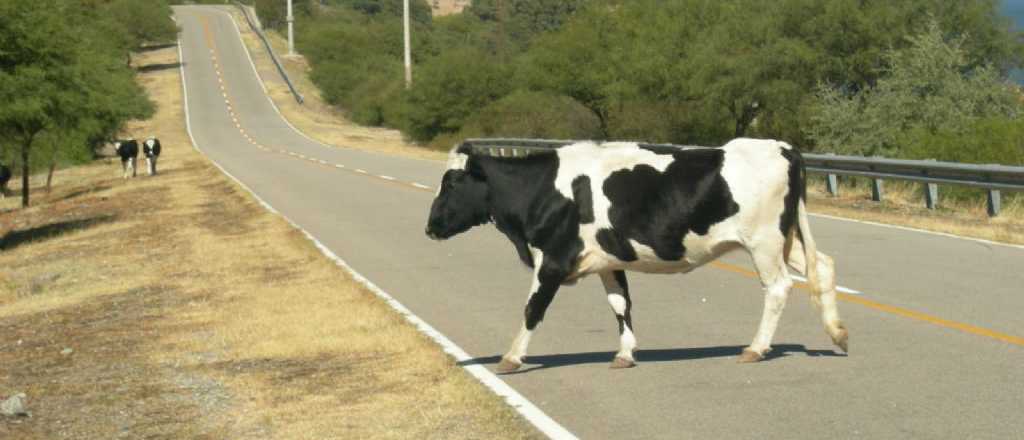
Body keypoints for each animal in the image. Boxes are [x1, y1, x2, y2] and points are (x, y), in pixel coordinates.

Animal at [425, 138, 848, 372]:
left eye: (453, 182)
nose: (430, 226)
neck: (541, 190)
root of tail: (782, 146)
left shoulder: (553, 259)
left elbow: (533, 309)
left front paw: (512, 357)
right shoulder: (608, 260)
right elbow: (621, 304)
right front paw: (626, 354)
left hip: (764, 240)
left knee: (778, 287)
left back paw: (755, 349)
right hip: (786, 239)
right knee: (824, 265)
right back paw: (838, 334)